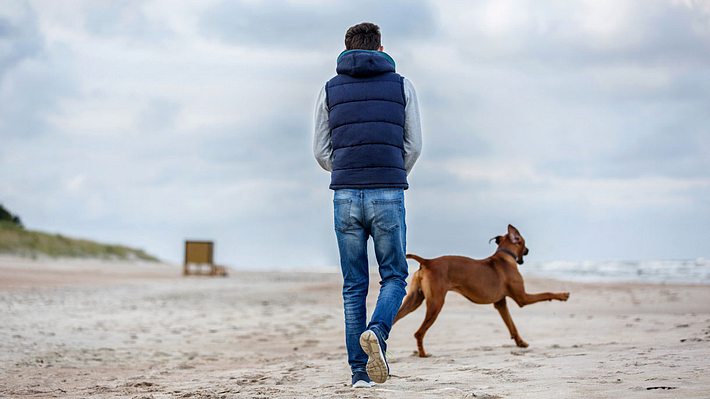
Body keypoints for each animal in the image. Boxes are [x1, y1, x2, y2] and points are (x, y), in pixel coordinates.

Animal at [394, 223, 572, 358]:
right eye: (523, 242)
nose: (528, 250)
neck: (505, 255)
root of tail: (427, 261)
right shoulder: (523, 298)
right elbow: (546, 293)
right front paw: (563, 295)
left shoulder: (500, 303)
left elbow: (511, 325)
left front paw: (520, 342)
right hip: (436, 303)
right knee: (419, 332)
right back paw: (423, 354)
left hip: (414, 300)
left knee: (394, 318)